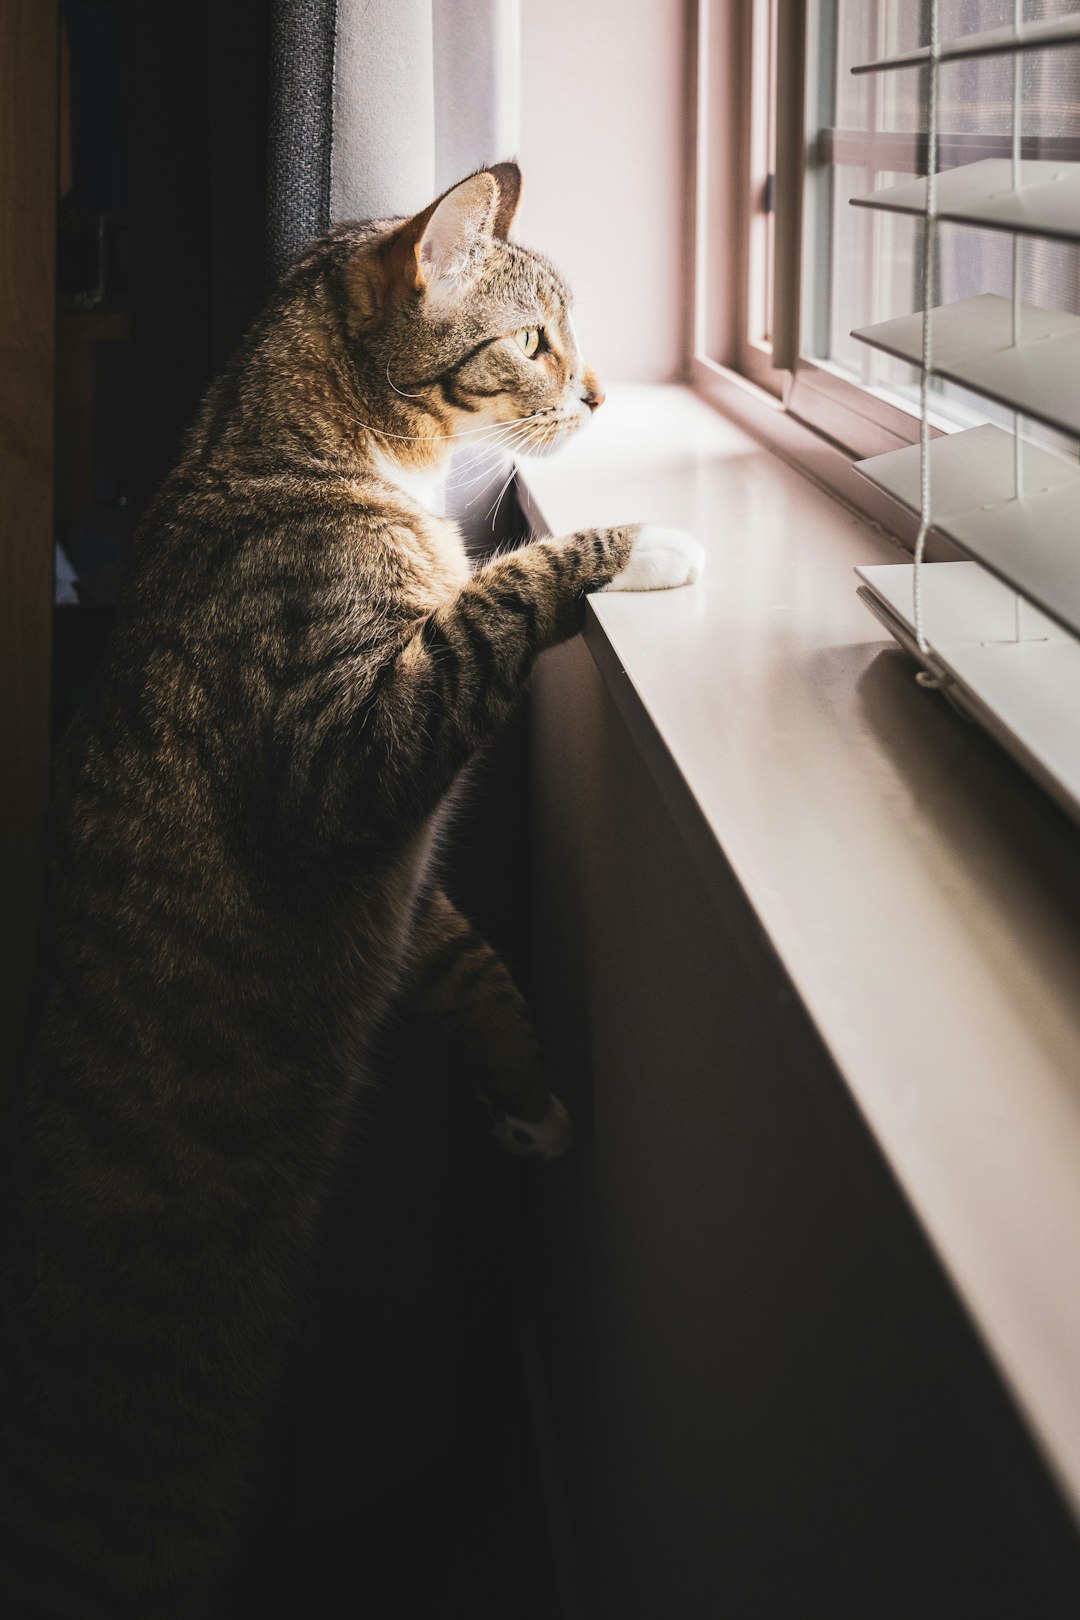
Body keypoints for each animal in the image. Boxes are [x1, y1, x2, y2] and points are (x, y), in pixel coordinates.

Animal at [0, 161, 705, 1607]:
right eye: (534, 339)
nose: (604, 395)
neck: (290, 450)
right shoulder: (344, 767)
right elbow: (494, 601)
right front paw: (636, 547)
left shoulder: (403, 891)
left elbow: (473, 961)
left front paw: (528, 1092)